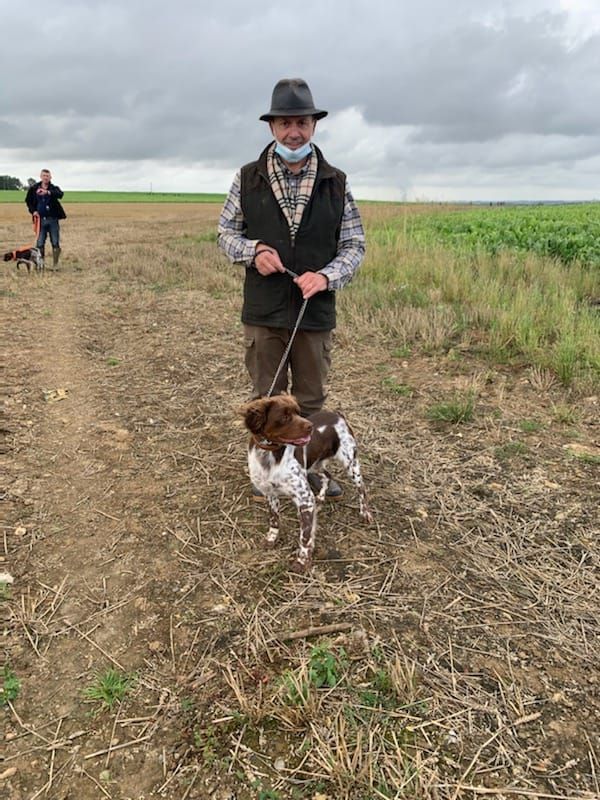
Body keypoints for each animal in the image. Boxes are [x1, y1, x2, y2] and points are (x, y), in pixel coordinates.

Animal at [239, 394, 370, 568]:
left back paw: (365, 513)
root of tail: (337, 414)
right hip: (314, 465)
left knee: (362, 488)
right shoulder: (270, 493)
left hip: (350, 463)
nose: (311, 426)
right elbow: (274, 519)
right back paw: (320, 497)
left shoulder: (305, 499)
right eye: (285, 417)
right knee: (328, 475)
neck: (270, 456)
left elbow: (305, 535)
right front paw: (271, 538)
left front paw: (302, 560)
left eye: (298, 412)